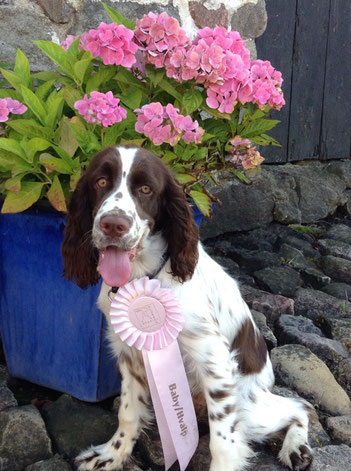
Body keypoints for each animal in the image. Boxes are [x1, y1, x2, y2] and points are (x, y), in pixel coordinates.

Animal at [62, 147, 314, 471]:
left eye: (146, 189)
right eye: (101, 182)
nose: (113, 225)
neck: (145, 275)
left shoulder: (214, 359)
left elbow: (223, 441)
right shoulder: (130, 355)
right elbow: (128, 413)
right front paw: (110, 455)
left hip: (251, 405)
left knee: (300, 405)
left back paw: (296, 448)